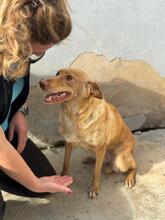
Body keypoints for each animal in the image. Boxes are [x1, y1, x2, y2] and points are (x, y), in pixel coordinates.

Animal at [39, 68, 136, 199]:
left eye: (69, 77)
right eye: (57, 73)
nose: (41, 83)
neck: (75, 115)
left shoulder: (101, 147)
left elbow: (96, 172)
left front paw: (94, 188)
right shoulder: (68, 142)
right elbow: (65, 163)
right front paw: (63, 177)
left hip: (121, 159)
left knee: (133, 166)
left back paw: (130, 178)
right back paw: (91, 160)